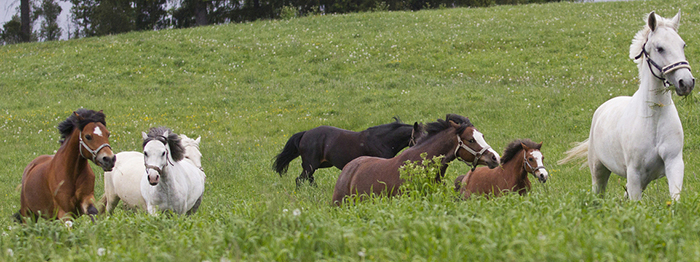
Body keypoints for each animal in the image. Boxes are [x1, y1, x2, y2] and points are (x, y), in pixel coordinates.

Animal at [556, 11, 696, 202]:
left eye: (683, 45)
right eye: (660, 48)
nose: (686, 83)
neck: (653, 119)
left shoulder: (673, 163)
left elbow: (674, 198)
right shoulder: (634, 172)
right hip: (599, 171)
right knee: (599, 192)